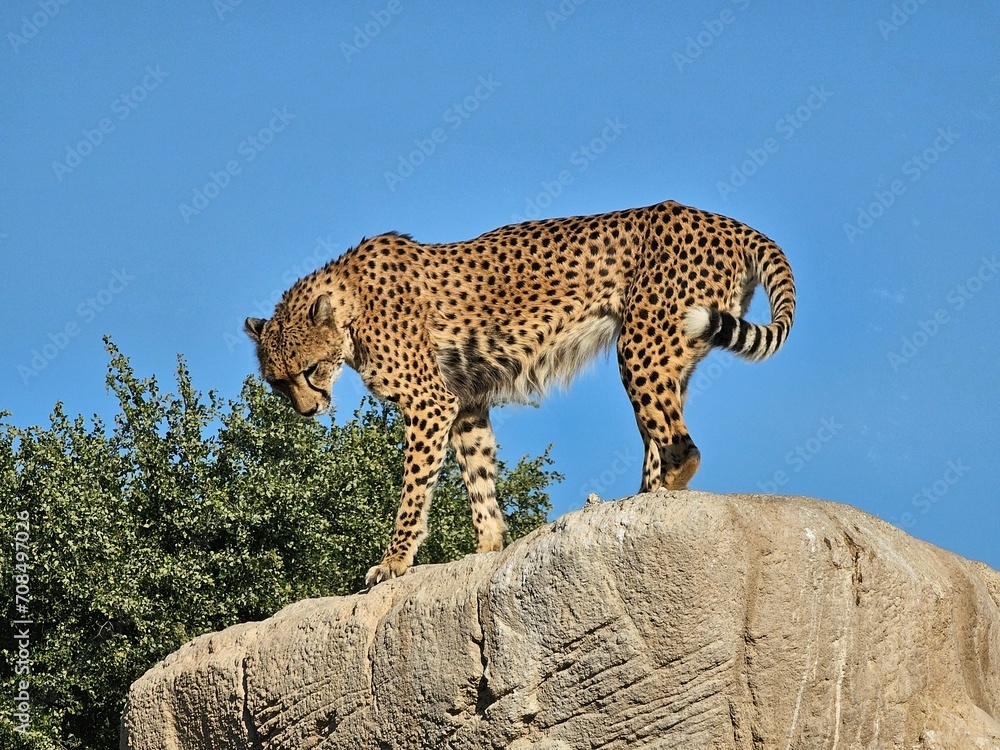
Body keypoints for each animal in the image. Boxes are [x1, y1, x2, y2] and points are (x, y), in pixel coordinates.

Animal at [245, 200, 795, 587]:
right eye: (278, 381)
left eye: (311, 370)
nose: (308, 410)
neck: (348, 307)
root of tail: (722, 220)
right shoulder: (464, 402)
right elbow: (478, 476)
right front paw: (488, 549)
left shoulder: (430, 403)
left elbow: (414, 489)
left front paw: (394, 561)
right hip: (672, 351)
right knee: (660, 437)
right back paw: (639, 500)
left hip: (642, 346)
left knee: (683, 448)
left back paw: (655, 505)